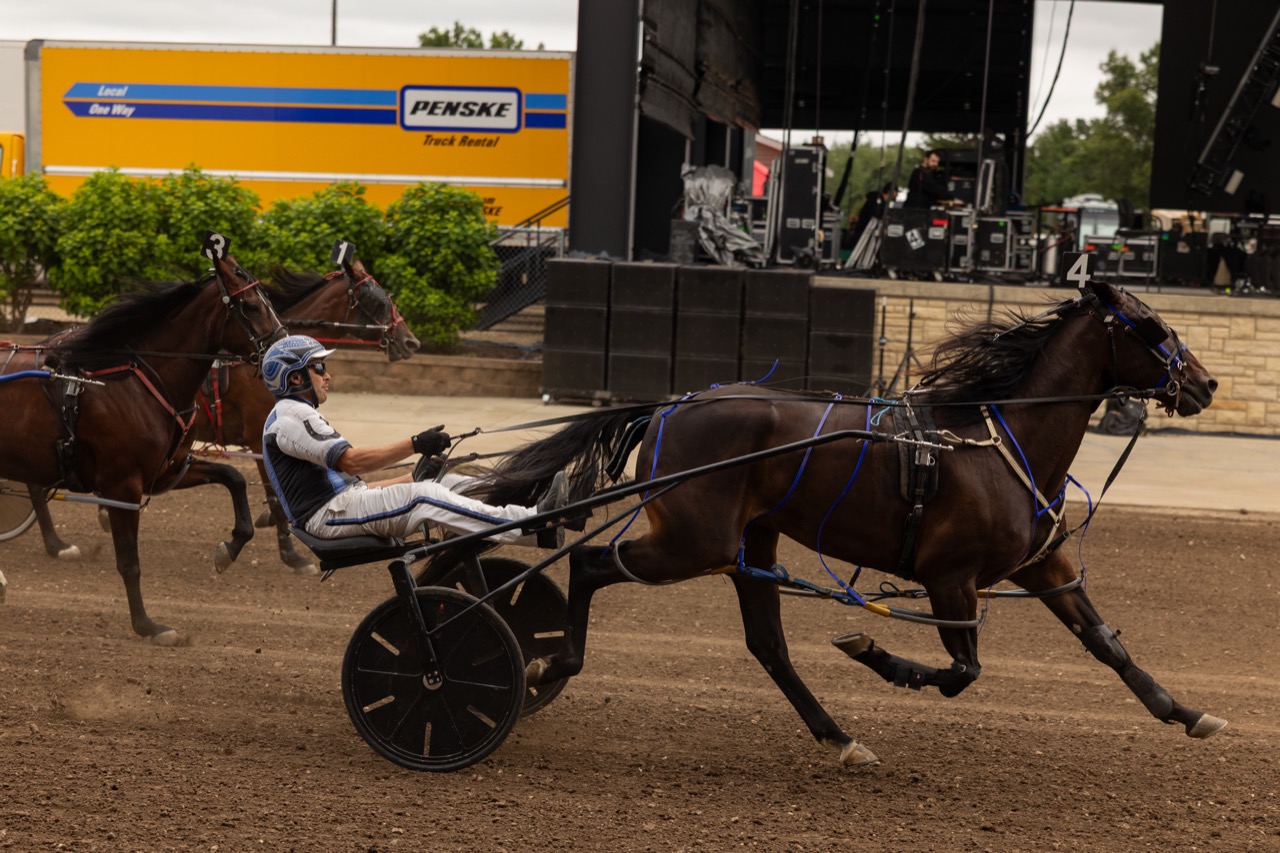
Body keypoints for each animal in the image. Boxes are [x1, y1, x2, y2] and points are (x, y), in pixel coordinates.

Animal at [0, 241, 285, 644]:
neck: (136, 382)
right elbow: (129, 563)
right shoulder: (123, 486)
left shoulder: (168, 470)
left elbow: (235, 478)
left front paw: (227, 550)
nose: (284, 347)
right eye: (250, 306)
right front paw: (148, 625)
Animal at [24, 249, 419, 575]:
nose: (411, 341)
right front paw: (292, 555)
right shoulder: (258, 433)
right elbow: (275, 495)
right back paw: (57, 544)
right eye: (377, 299)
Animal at [458, 279, 1225, 766]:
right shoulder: (951, 576)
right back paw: (548, 662)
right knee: (589, 564)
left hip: (747, 542)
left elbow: (1105, 644)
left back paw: (838, 738)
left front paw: (1186, 713)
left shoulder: (1042, 564)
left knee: (767, 644)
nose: (1205, 383)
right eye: (1152, 328)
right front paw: (876, 654)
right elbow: (962, 669)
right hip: (693, 540)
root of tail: (672, 406)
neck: (997, 442)